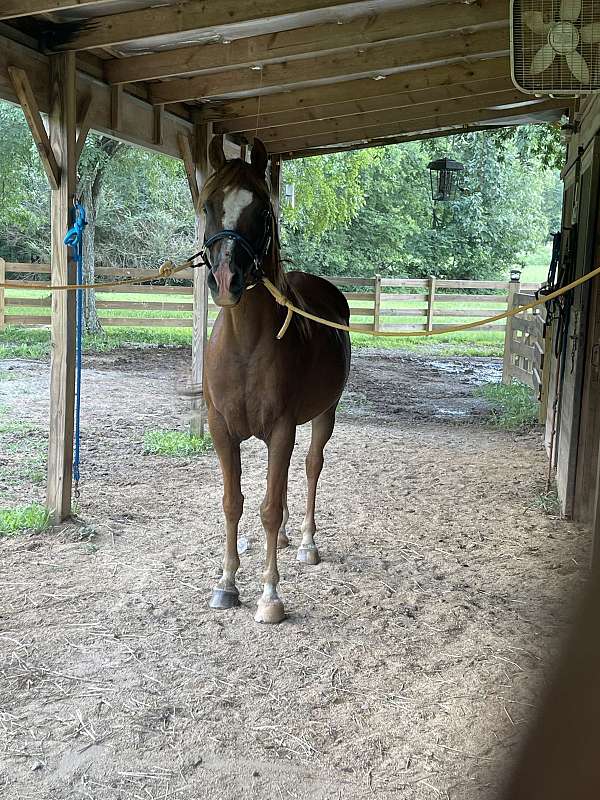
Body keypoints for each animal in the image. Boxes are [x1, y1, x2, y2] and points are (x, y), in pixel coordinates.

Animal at [201, 136, 351, 624]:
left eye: (262, 209)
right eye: (208, 204)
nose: (226, 280)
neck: (245, 347)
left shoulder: (283, 429)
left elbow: (267, 507)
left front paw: (270, 595)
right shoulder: (222, 430)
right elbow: (233, 502)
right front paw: (226, 584)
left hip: (324, 415)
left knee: (310, 468)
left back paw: (304, 542)